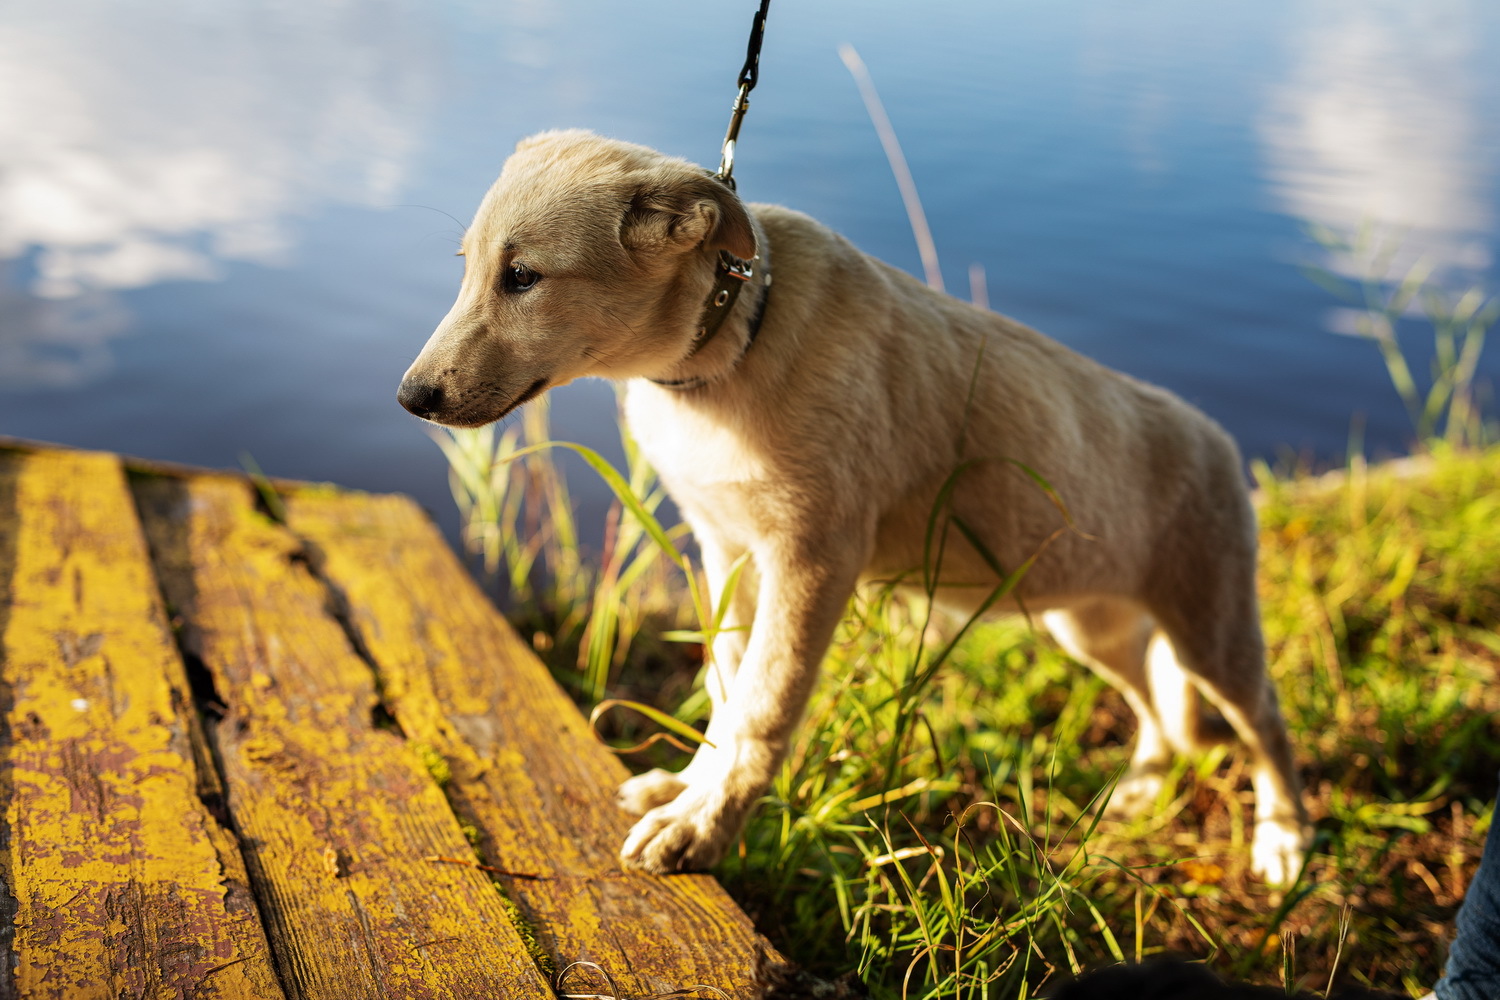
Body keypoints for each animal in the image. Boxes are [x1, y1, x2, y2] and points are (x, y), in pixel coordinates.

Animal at [405, 127, 1308, 881]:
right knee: (1156, 704)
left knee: (1265, 722)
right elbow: (725, 687)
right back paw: (1146, 788)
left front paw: (703, 824)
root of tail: (1217, 439)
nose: (411, 398)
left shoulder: (811, 560)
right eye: (466, 266)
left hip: (1212, 627)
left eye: (524, 278)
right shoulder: (725, 551)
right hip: (1087, 621)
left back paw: (1286, 841)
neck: (729, 350)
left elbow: (762, 706)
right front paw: (685, 788)